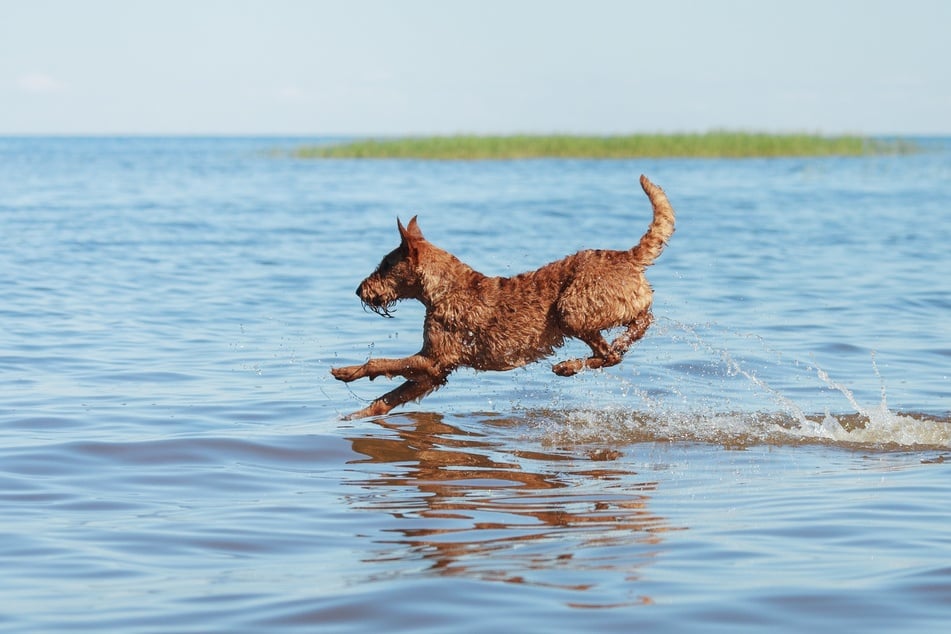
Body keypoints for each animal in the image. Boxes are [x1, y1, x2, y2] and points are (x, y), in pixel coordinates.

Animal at [330, 174, 672, 420]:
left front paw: (346, 372)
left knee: (610, 353)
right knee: (636, 328)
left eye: (386, 265)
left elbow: (380, 362)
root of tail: (628, 257)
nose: (359, 290)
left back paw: (568, 366)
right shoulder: (436, 372)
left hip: (571, 311)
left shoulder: (434, 359)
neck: (445, 289)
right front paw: (353, 417)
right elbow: (388, 398)